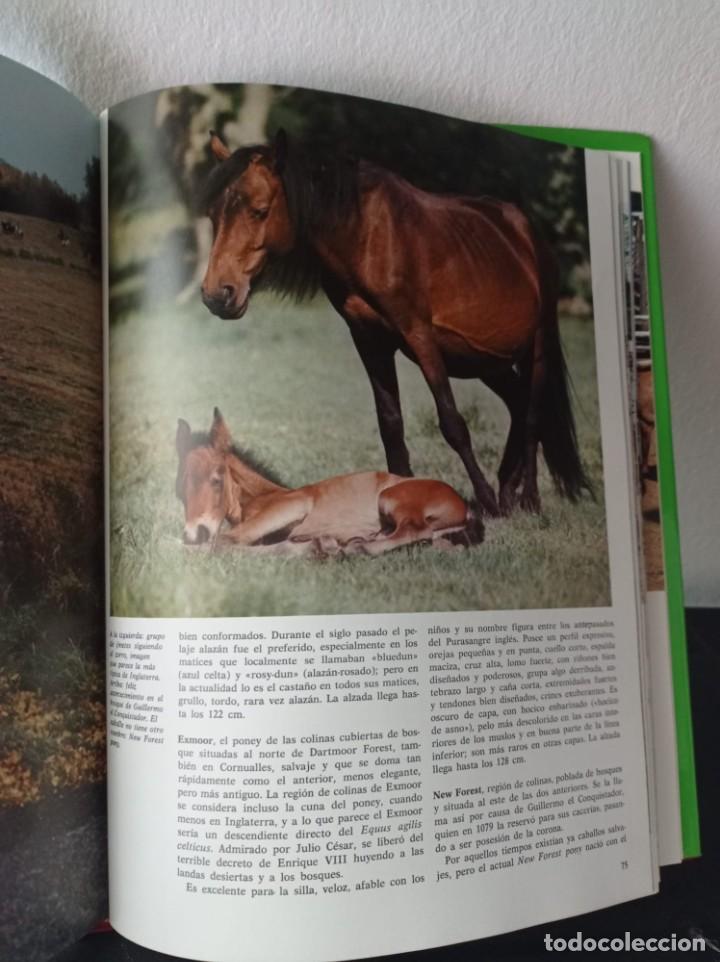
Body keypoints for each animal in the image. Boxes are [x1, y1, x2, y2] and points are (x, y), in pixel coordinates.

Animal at [176, 409, 483, 556]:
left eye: (216, 480)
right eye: (179, 490)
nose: (194, 532)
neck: (261, 495)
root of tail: (463, 505)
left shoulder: (291, 507)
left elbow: (224, 541)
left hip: (391, 498)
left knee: (415, 530)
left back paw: (357, 546)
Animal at [199, 130, 592, 518]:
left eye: (259, 211)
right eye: (214, 214)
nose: (218, 294)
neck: (366, 237)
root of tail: (527, 234)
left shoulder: (419, 335)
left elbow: (452, 422)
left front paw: (485, 501)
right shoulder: (369, 340)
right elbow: (391, 425)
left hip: (537, 343)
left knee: (533, 415)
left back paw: (529, 501)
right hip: (486, 361)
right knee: (518, 402)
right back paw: (509, 490)